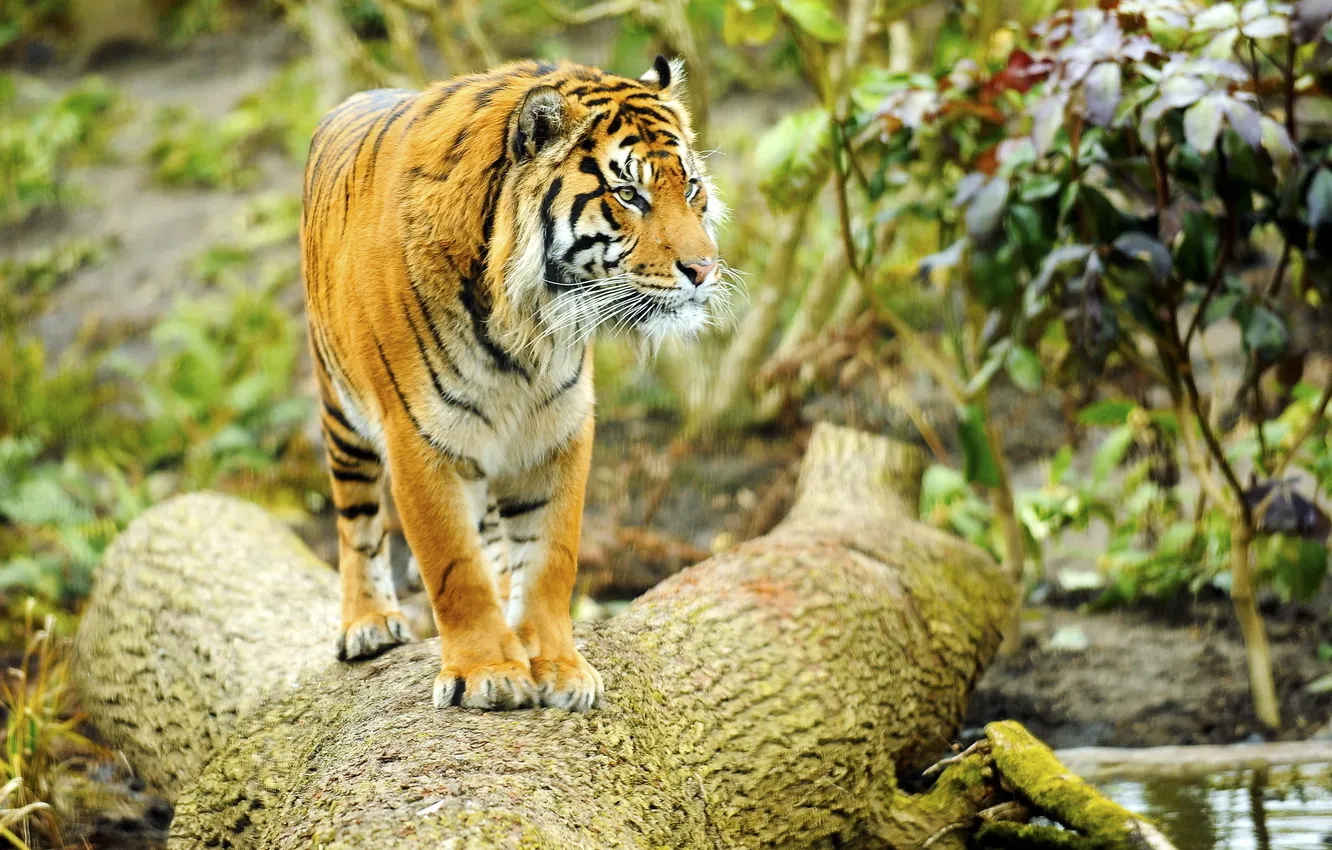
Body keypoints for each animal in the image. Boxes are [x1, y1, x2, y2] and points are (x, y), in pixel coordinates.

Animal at [300, 55, 727, 713]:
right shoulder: (419, 440)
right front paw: (488, 672)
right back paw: (368, 624)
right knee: (357, 521)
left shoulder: (556, 429)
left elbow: (550, 558)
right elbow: (454, 567)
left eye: (691, 188)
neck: (526, 324)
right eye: (629, 194)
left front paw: (557, 667)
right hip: (340, 411)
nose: (704, 270)